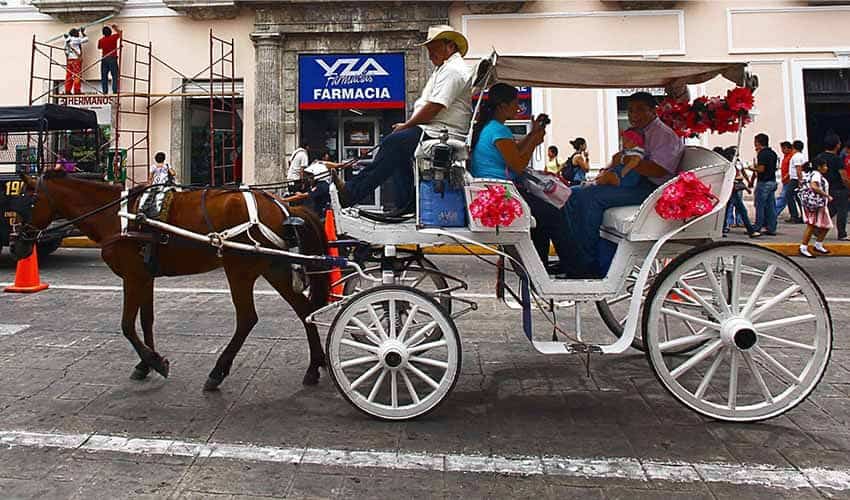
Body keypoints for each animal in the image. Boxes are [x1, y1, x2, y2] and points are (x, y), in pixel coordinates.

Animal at [15, 173, 332, 390]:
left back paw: (217, 372)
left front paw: (156, 362)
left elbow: (127, 325)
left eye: (26, 203)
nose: (18, 245)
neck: (117, 216)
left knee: (247, 318)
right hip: (273, 267)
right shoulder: (145, 276)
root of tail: (283, 206)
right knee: (304, 310)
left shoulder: (133, 276)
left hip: (239, 269)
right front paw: (145, 364)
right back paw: (315, 366)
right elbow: (147, 320)